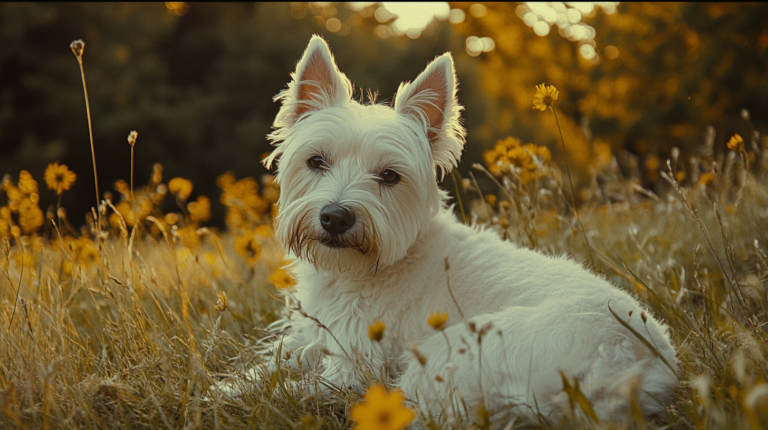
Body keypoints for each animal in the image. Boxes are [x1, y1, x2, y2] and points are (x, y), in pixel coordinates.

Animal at [230, 34, 680, 424]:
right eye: (316, 161)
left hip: (450, 355)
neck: (364, 268)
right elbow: (265, 369)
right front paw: (230, 386)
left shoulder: (352, 364)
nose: (336, 218)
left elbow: (291, 387)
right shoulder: (307, 335)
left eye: (389, 176)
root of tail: (633, 374)